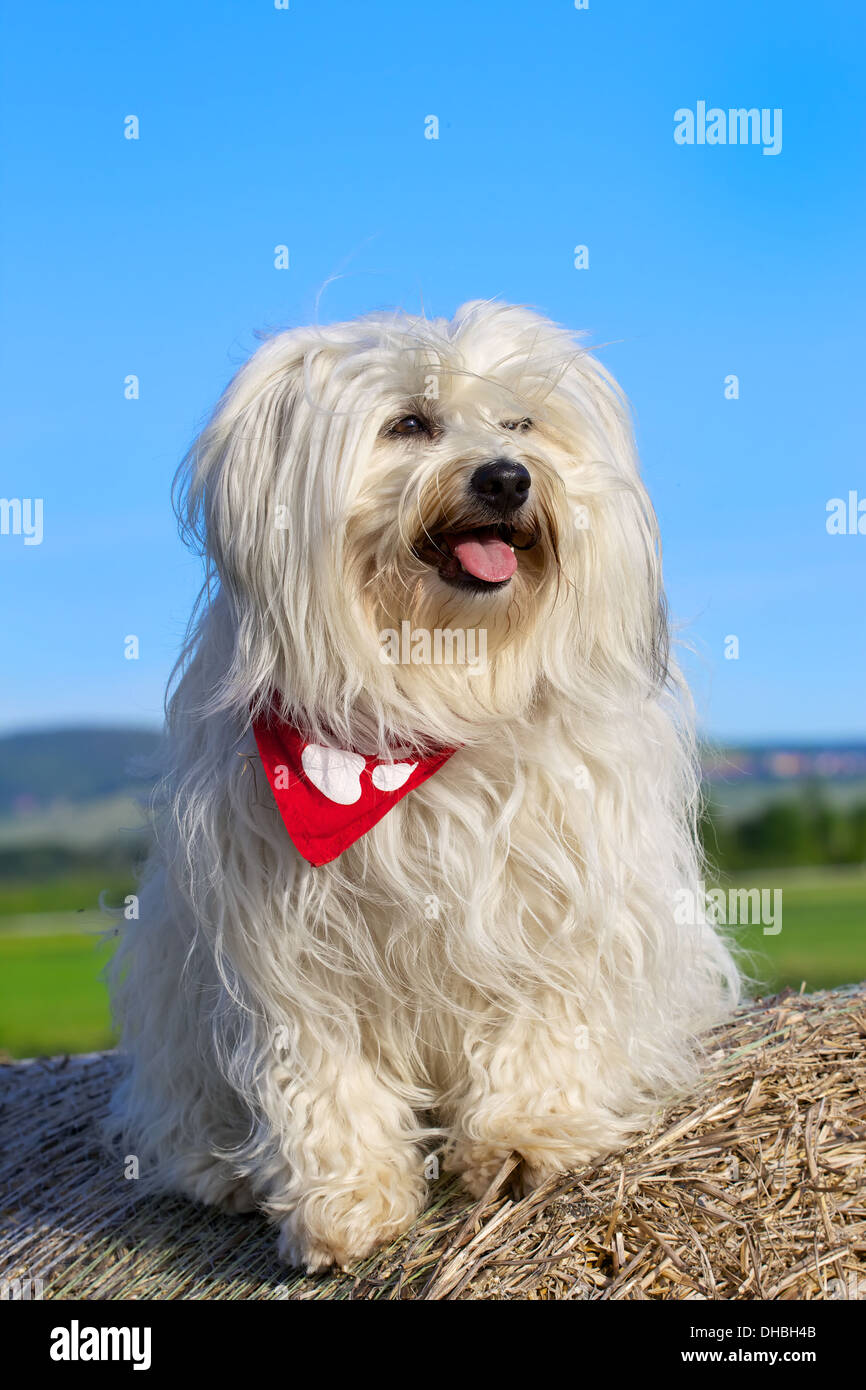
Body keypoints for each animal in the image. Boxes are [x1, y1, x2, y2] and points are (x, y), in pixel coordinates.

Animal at [108, 301, 739, 1273]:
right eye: (409, 423)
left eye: (521, 422)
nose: (508, 478)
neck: (439, 687)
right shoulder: (292, 942)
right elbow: (326, 1074)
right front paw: (346, 1200)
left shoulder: (557, 895)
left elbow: (542, 1017)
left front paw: (523, 1138)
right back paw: (221, 1169)